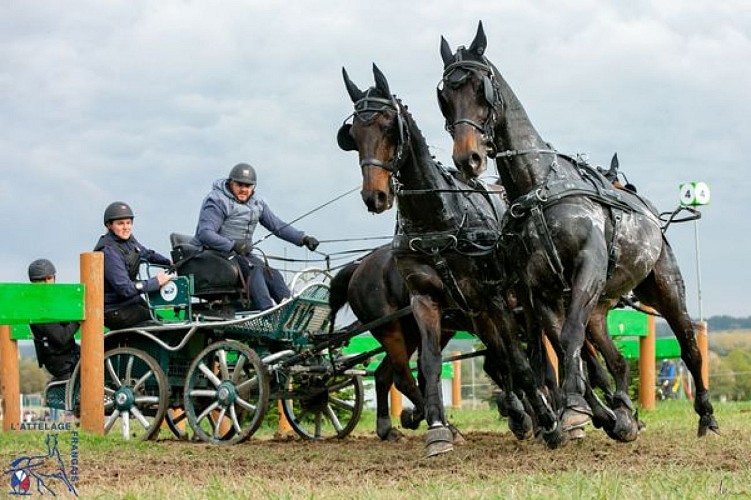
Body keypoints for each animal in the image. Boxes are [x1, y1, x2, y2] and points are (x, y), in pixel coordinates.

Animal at [338, 64, 560, 456]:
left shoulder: (492, 301)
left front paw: (542, 418)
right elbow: (433, 365)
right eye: (354, 134)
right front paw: (439, 429)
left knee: (389, 373)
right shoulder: (427, 302)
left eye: (387, 125)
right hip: (396, 328)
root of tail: (358, 268)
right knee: (400, 373)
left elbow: (518, 362)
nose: (375, 196)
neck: (439, 219)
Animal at [438, 21, 720, 440]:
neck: (538, 188)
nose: (467, 158)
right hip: (599, 307)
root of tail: (653, 214)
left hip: (664, 286)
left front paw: (574, 409)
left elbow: (570, 338)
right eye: (445, 95)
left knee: (689, 346)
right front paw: (589, 412)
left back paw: (705, 415)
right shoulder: (538, 290)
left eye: (479, 87)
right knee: (615, 358)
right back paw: (620, 413)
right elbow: (563, 346)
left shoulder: (586, 267)